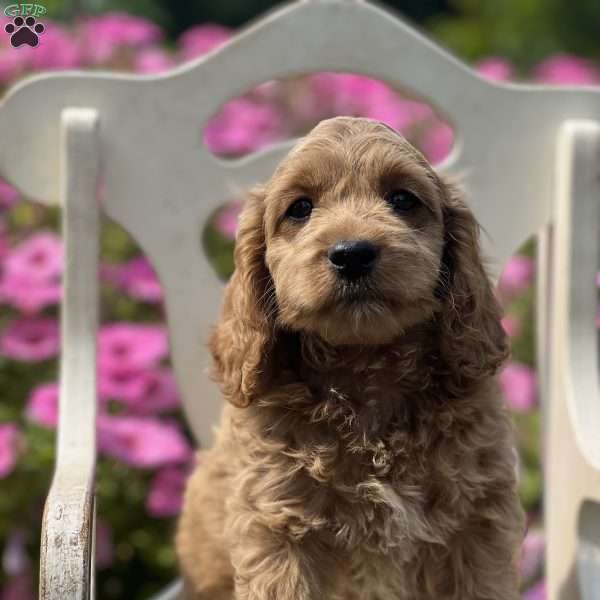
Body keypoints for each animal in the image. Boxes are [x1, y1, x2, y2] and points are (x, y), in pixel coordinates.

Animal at [176, 117, 524, 600]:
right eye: (300, 209)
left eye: (403, 199)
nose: (353, 253)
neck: (367, 374)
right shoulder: (278, 529)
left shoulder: (476, 524)